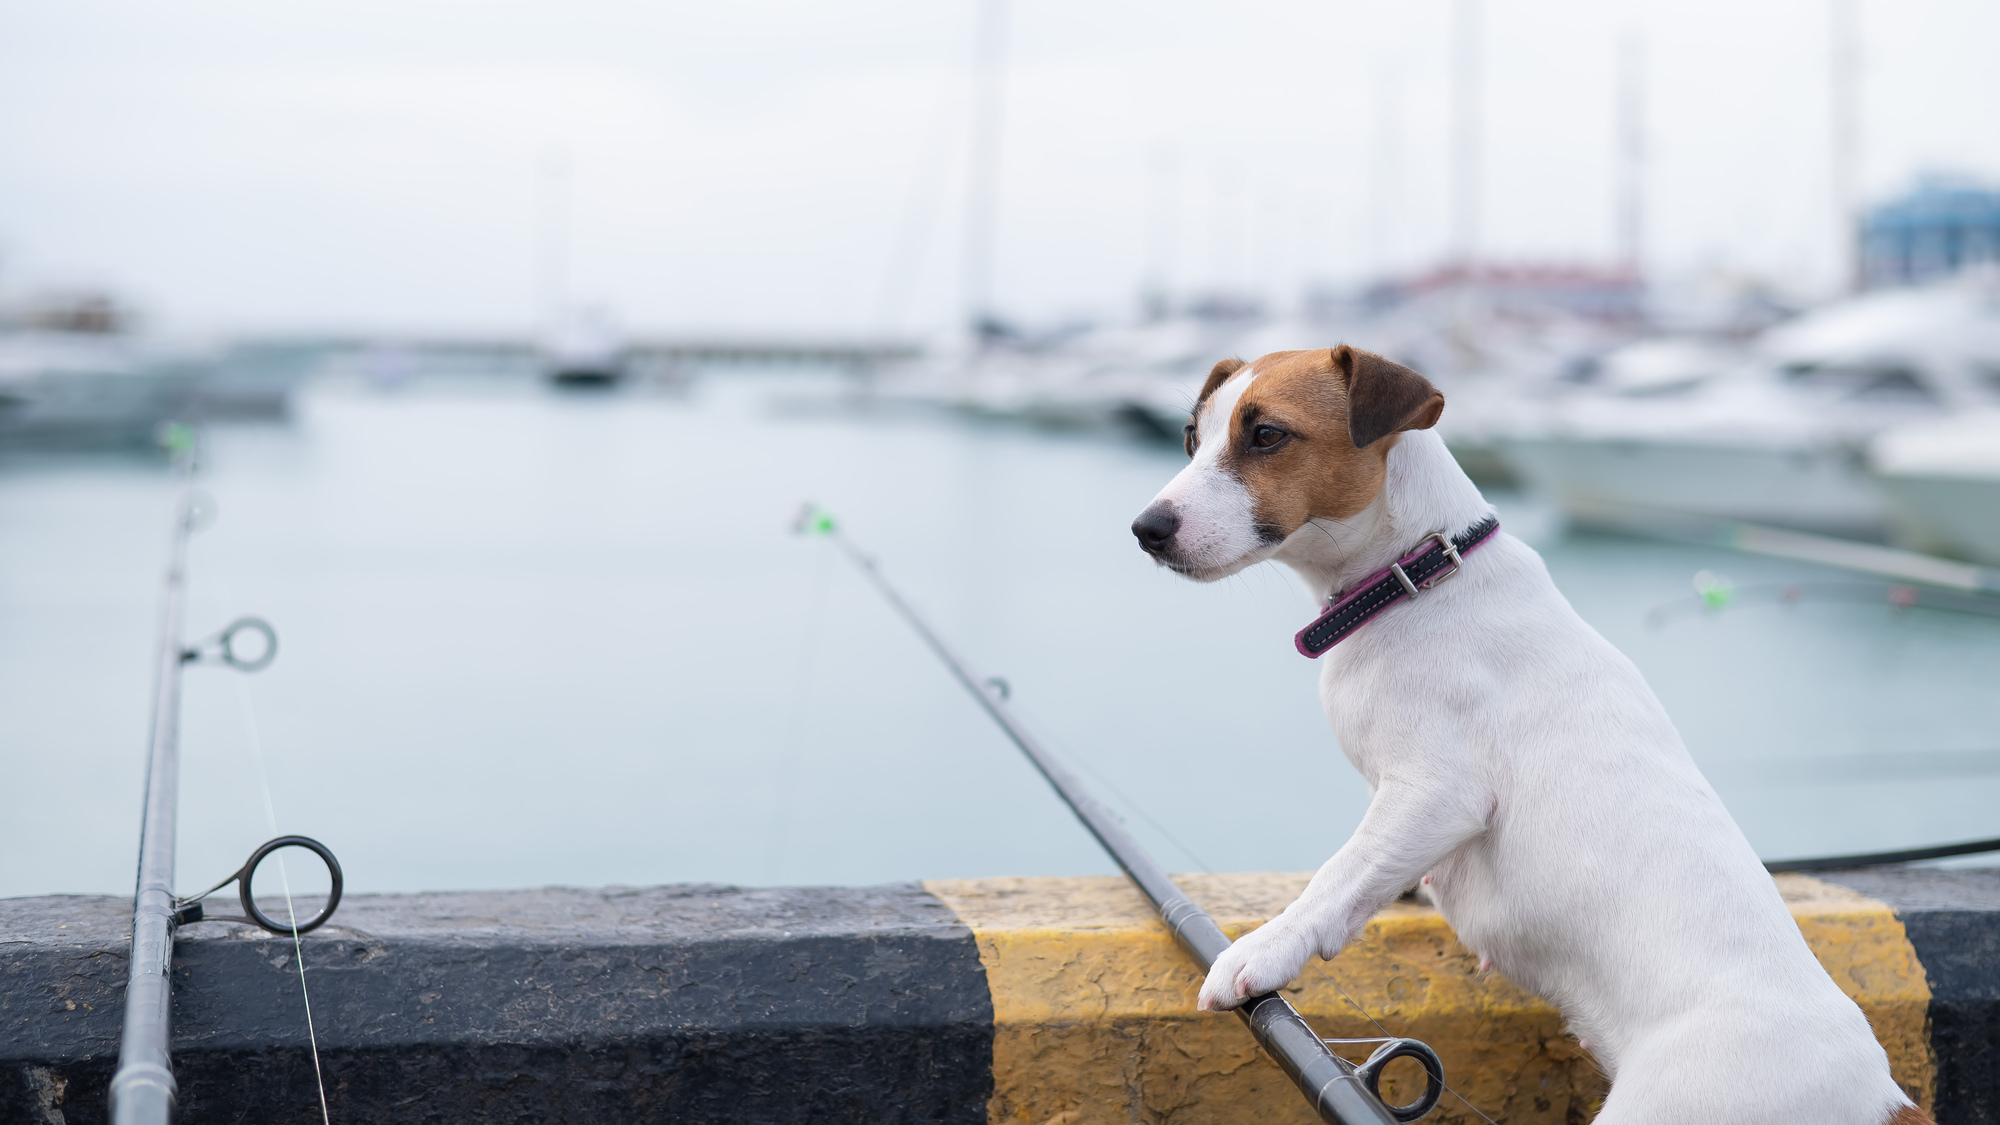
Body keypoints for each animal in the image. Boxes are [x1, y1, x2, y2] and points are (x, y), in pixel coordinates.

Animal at [1136, 346, 1928, 1112]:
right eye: (1192, 436)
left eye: (1267, 435)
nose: (1147, 529)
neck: (1419, 573)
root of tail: (1880, 1095)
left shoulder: (1436, 793)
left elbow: (1343, 873)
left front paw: (1265, 948)